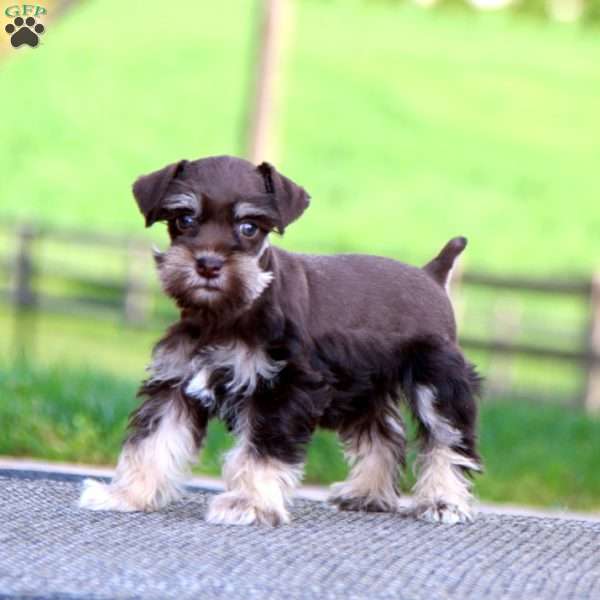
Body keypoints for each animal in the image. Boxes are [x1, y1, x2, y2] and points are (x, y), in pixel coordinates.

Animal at [79, 154, 482, 524]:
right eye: (185, 219)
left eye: (249, 227)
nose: (208, 264)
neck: (228, 313)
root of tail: (432, 275)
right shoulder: (174, 382)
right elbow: (152, 442)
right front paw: (126, 494)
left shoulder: (282, 388)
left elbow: (262, 451)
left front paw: (249, 503)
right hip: (361, 389)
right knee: (384, 436)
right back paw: (366, 494)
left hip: (438, 382)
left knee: (448, 441)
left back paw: (442, 501)